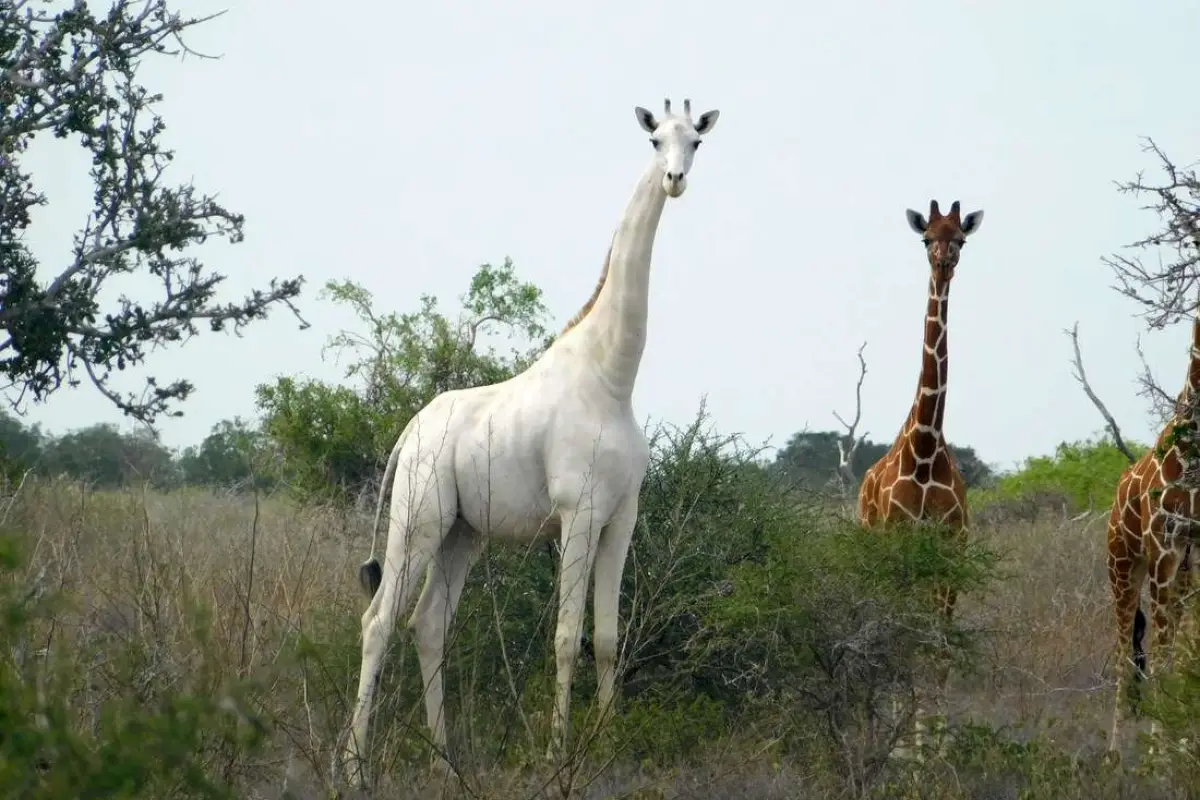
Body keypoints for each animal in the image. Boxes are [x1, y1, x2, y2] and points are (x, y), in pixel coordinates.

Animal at [340, 95, 720, 786]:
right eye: (655, 139)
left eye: (696, 142)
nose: (676, 180)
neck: (612, 377)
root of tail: (408, 433)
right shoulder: (578, 513)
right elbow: (567, 636)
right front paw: (557, 753)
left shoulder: (622, 517)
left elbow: (607, 637)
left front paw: (608, 745)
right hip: (418, 520)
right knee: (378, 621)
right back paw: (355, 768)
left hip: (463, 533)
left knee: (428, 624)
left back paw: (444, 760)